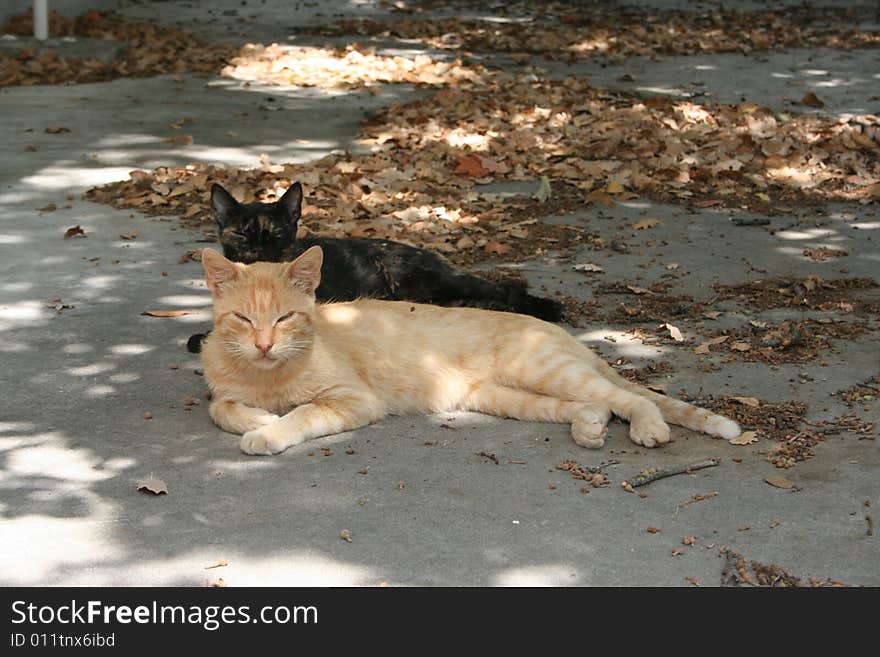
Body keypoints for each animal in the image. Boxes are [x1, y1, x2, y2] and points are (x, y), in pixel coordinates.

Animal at [201, 243, 744, 454]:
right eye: (244, 319)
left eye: (285, 318)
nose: (264, 344)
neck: (267, 377)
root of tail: (558, 332)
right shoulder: (224, 393)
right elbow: (221, 408)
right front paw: (256, 418)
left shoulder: (354, 400)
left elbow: (301, 414)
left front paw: (267, 432)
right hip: (503, 397)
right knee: (593, 405)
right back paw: (589, 427)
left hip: (542, 370)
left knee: (630, 398)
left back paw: (648, 428)